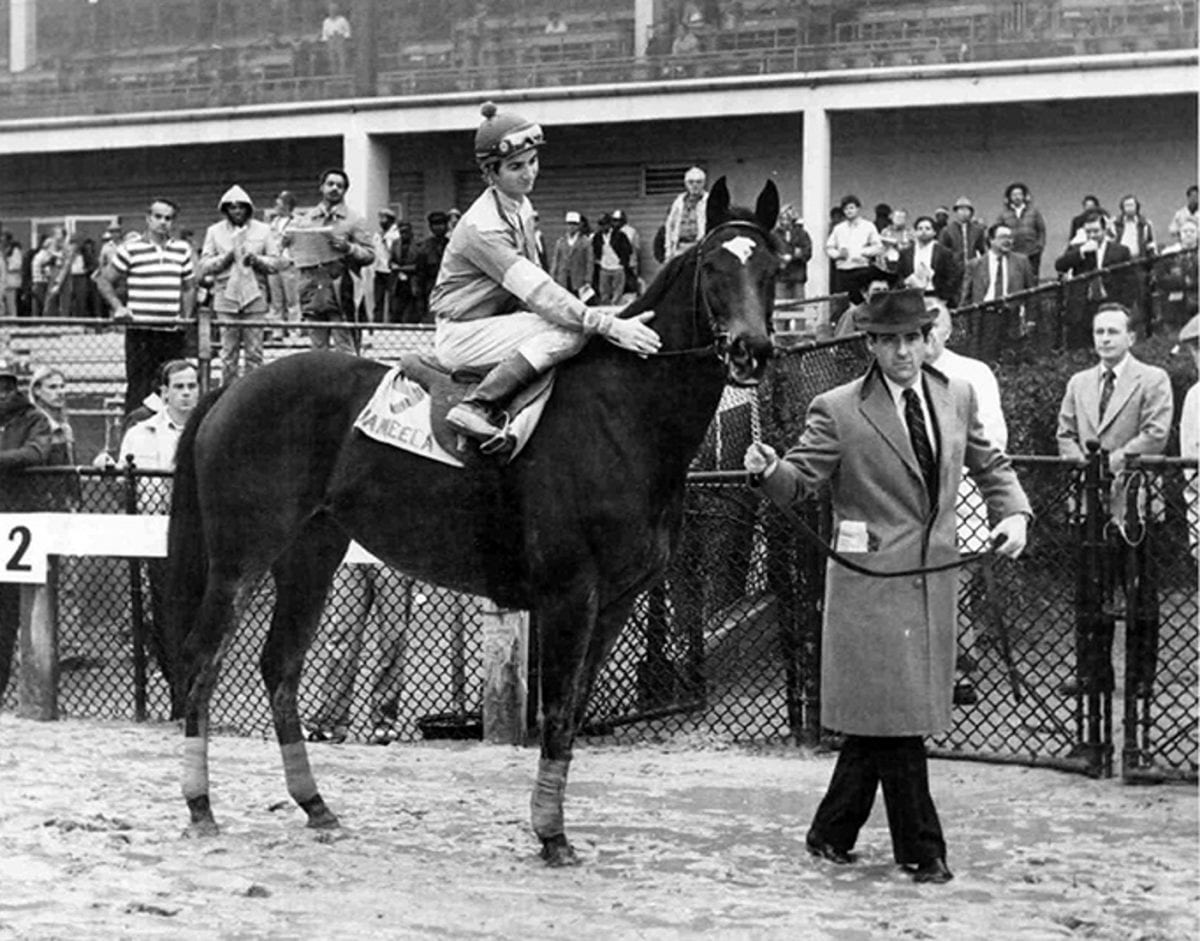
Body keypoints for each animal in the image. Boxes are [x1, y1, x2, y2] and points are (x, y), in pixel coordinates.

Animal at [169, 172, 782, 864]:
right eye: (712, 266)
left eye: (773, 266)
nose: (752, 351)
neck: (624, 412)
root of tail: (234, 387)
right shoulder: (570, 595)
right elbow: (559, 711)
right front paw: (551, 835)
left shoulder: (617, 600)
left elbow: (575, 708)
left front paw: (552, 828)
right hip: (240, 561)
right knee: (201, 662)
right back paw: (200, 805)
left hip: (311, 556)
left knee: (280, 666)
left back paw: (314, 804)